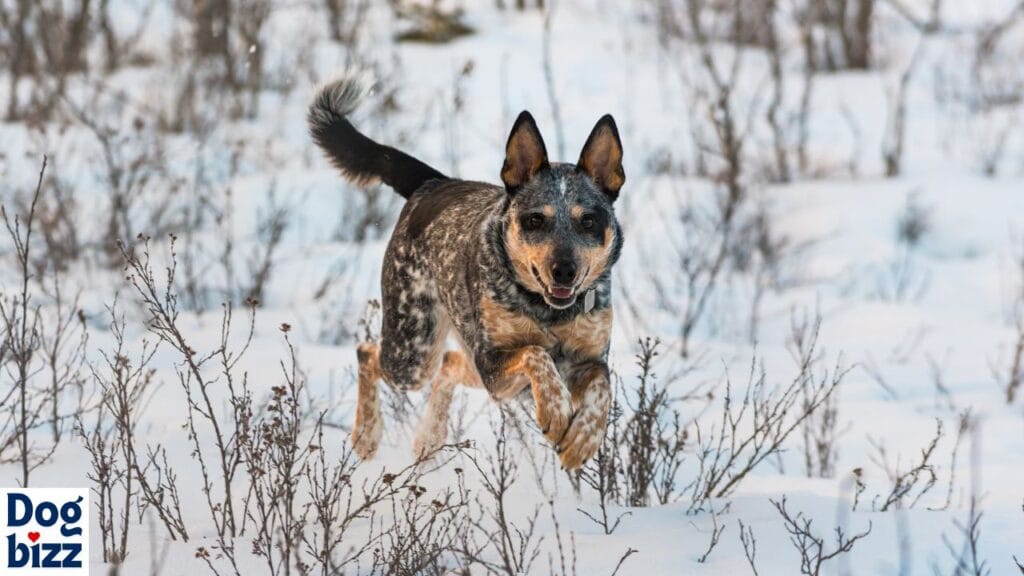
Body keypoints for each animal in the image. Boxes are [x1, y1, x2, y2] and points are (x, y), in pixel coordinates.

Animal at [305, 76, 622, 469]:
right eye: (535, 219)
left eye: (588, 221)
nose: (564, 270)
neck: (548, 311)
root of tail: (433, 183)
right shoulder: (492, 362)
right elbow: (537, 353)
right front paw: (557, 410)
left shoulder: (589, 359)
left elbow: (602, 386)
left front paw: (583, 438)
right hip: (413, 353)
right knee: (368, 352)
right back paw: (366, 435)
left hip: (461, 359)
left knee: (450, 361)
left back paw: (429, 436)